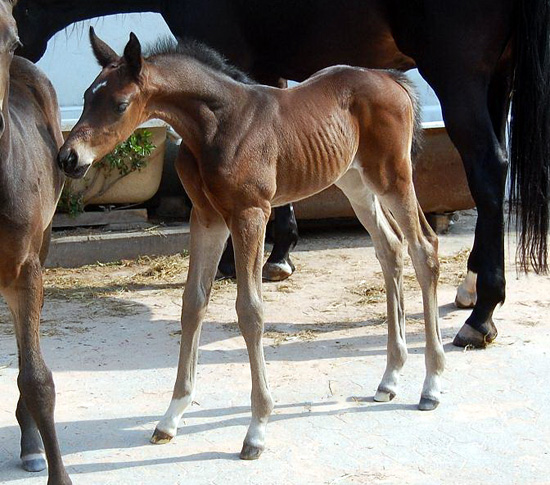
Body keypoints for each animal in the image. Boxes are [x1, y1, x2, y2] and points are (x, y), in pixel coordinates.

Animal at [12, 0, 550, 350]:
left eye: (121, 104)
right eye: (86, 96)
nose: (67, 157)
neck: (220, 120)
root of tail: (395, 82)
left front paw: (260, 260)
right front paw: (279, 254)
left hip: (450, 79)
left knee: (483, 173)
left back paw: (480, 317)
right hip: (489, 76)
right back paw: (471, 290)